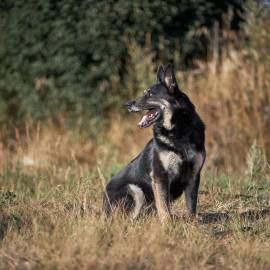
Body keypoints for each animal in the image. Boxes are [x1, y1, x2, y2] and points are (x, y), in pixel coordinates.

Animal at [103, 64, 205, 223]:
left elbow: (191, 204)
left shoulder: (194, 175)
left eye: (150, 94)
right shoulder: (160, 176)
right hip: (135, 190)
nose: (127, 104)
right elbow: (163, 205)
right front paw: (167, 224)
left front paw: (192, 223)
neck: (178, 131)